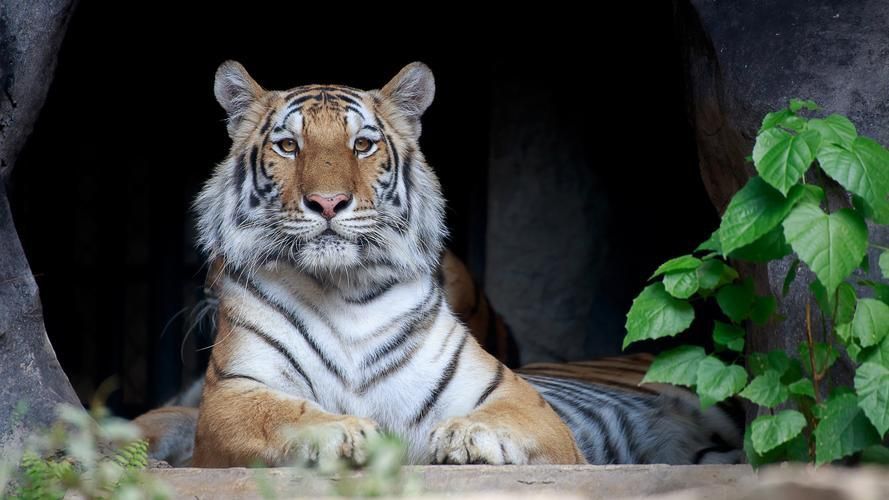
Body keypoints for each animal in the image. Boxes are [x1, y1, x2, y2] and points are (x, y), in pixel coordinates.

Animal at [142, 60, 743, 467]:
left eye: (363, 145)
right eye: (288, 146)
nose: (329, 203)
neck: (342, 289)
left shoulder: (512, 394)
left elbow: (504, 416)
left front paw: (465, 437)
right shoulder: (233, 395)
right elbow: (283, 415)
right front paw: (345, 433)